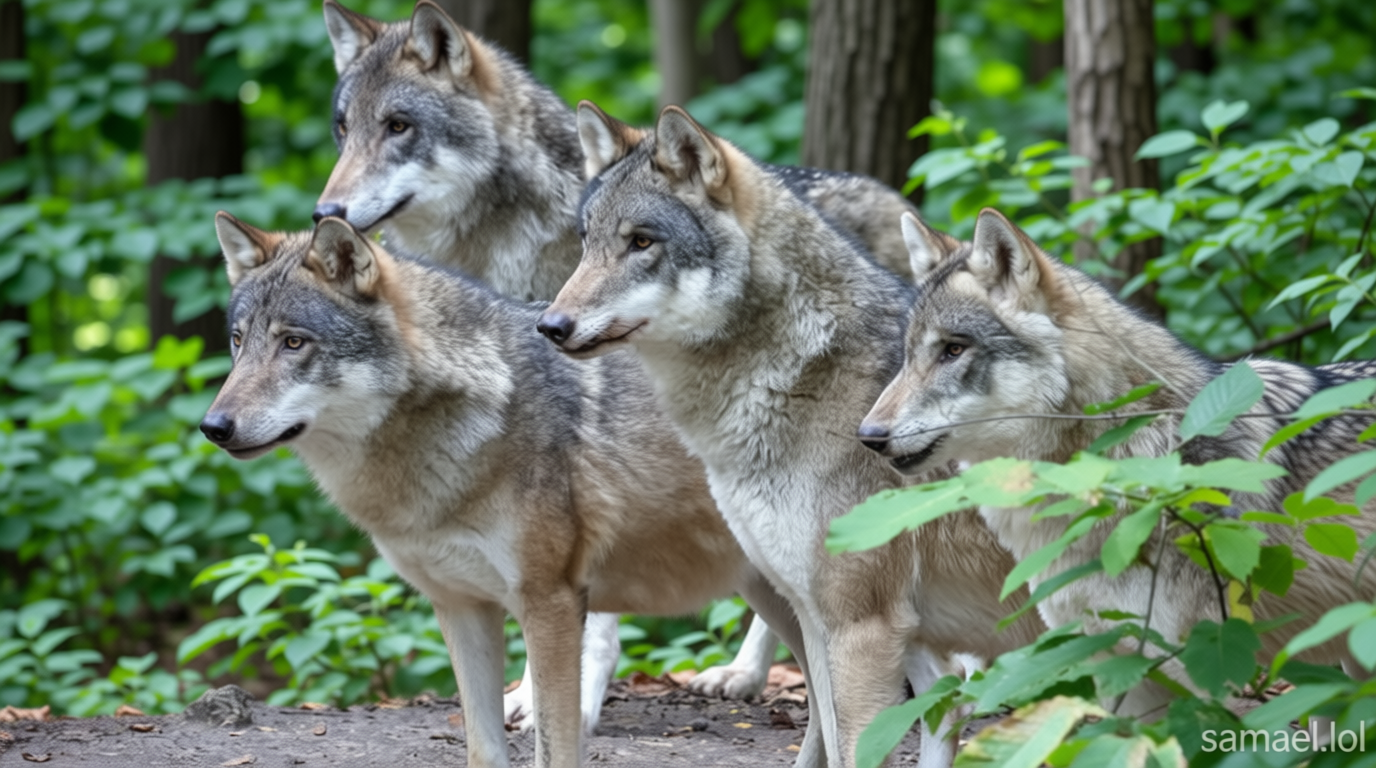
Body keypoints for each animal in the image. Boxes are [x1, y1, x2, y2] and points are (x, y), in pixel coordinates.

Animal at [201, 213, 813, 768]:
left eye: (293, 343)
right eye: (237, 342)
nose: (213, 427)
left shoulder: (552, 603)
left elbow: (555, 748)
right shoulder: (461, 606)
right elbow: (482, 746)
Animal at [536, 104, 1044, 768]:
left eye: (641, 242)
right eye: (587, 241)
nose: (551, 324)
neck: (800, 373)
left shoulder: (861, 623)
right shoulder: (823, 613)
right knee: (950, 695)